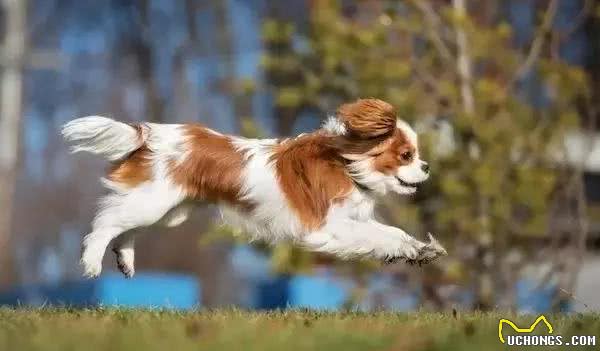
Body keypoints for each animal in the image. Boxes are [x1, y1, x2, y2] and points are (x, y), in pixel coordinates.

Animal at [62, 97, 446, 280]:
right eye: (407, 155)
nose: (427, 167)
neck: (346, 162)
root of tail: (149, 134)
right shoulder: (329, 227)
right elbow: (380, 235)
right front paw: (408, 249)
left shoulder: (353, 219)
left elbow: (391, 232)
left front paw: (418, 249)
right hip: (153, 202)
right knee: (105, 223)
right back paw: (91, 261)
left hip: (169, 210)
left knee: (126, 228)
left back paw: (124, 259)